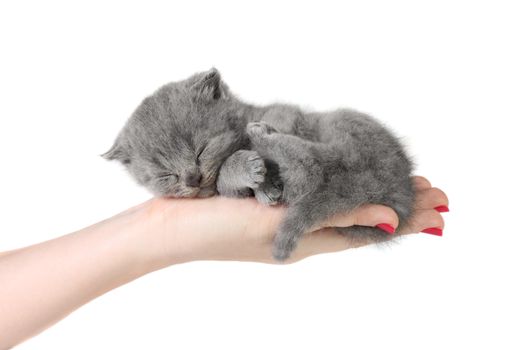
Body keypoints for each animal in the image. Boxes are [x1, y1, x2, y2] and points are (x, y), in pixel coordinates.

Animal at [103, 67, 414, 260]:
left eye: (201, 150)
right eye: (165, 175)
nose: (192, 178)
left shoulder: (284, 114)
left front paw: (258, 169)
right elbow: (227, 182)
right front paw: (255, 177)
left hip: (343, 126)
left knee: (313, 166)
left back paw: (263, 136)